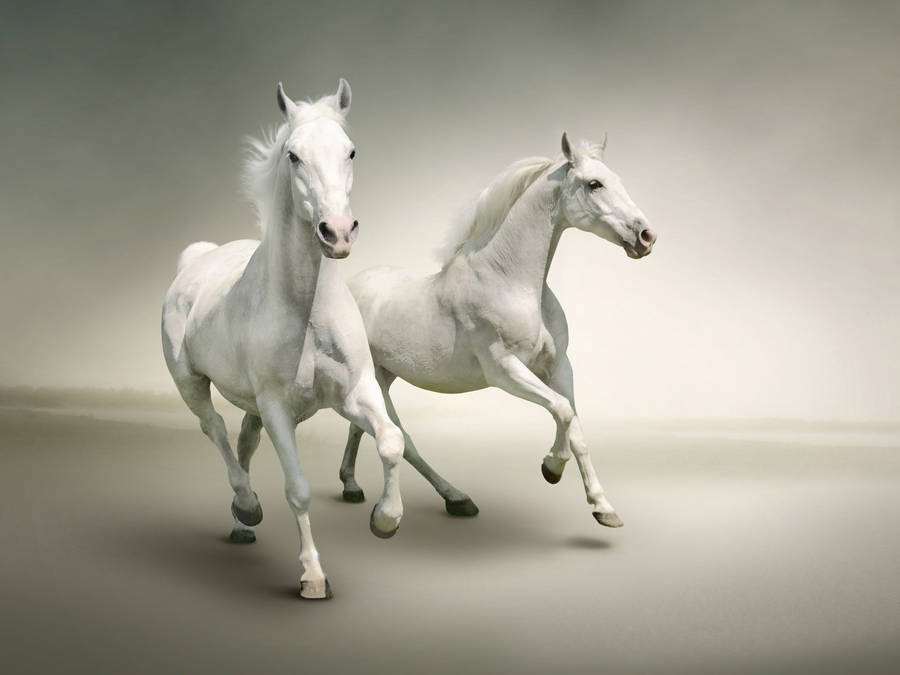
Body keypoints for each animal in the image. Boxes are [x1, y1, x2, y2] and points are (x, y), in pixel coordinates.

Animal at [161, 80, 404, 600]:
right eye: (294, 155)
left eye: (351, 150)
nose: (337, 232)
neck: (306, 311)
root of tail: (197, 259)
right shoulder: (277, 408)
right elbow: (298, 488)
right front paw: (313, 577)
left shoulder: (355, 391)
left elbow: (391, 440)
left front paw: (385, 519)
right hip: (190, 383)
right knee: (214, 429)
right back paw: (247, 506)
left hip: (251, 404)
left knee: (243, 440)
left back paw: (241, 523)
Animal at [338, 132, 657, 529]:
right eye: (594, 183)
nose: (646, 236)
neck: (510, 281)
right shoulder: (504, 370)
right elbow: (562, 411)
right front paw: (551, 467)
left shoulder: (558, 366)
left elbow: (575, 426)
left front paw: (603, 507)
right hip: (376, 380)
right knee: (402, 438)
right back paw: (452, 498)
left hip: (384, 375)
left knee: (361, 427)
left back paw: (353, 486)